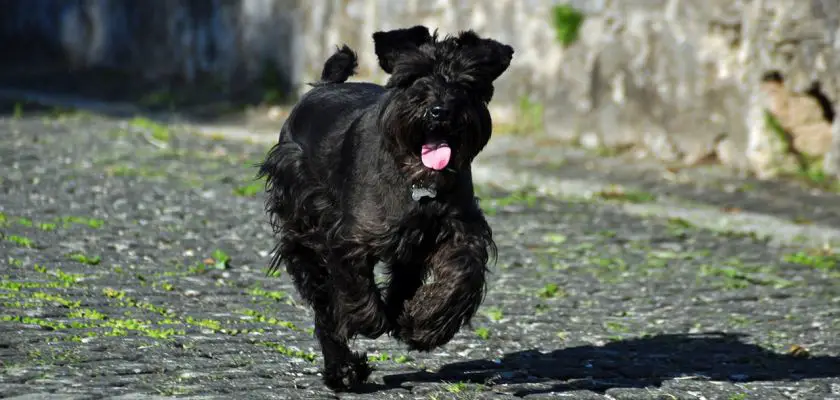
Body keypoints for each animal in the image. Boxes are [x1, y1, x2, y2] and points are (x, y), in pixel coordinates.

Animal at [260, 25, 516, 390]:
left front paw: (424, 324)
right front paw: (369, 320)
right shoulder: (349, 236)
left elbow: (461, 276)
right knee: (323, 303)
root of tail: (323, 86)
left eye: (467, 81)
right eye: (413, 76)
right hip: (301, 227)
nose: (440, 110)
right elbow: (353, 286)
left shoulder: (460, 231)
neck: (416, 183)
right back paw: (343, 369)